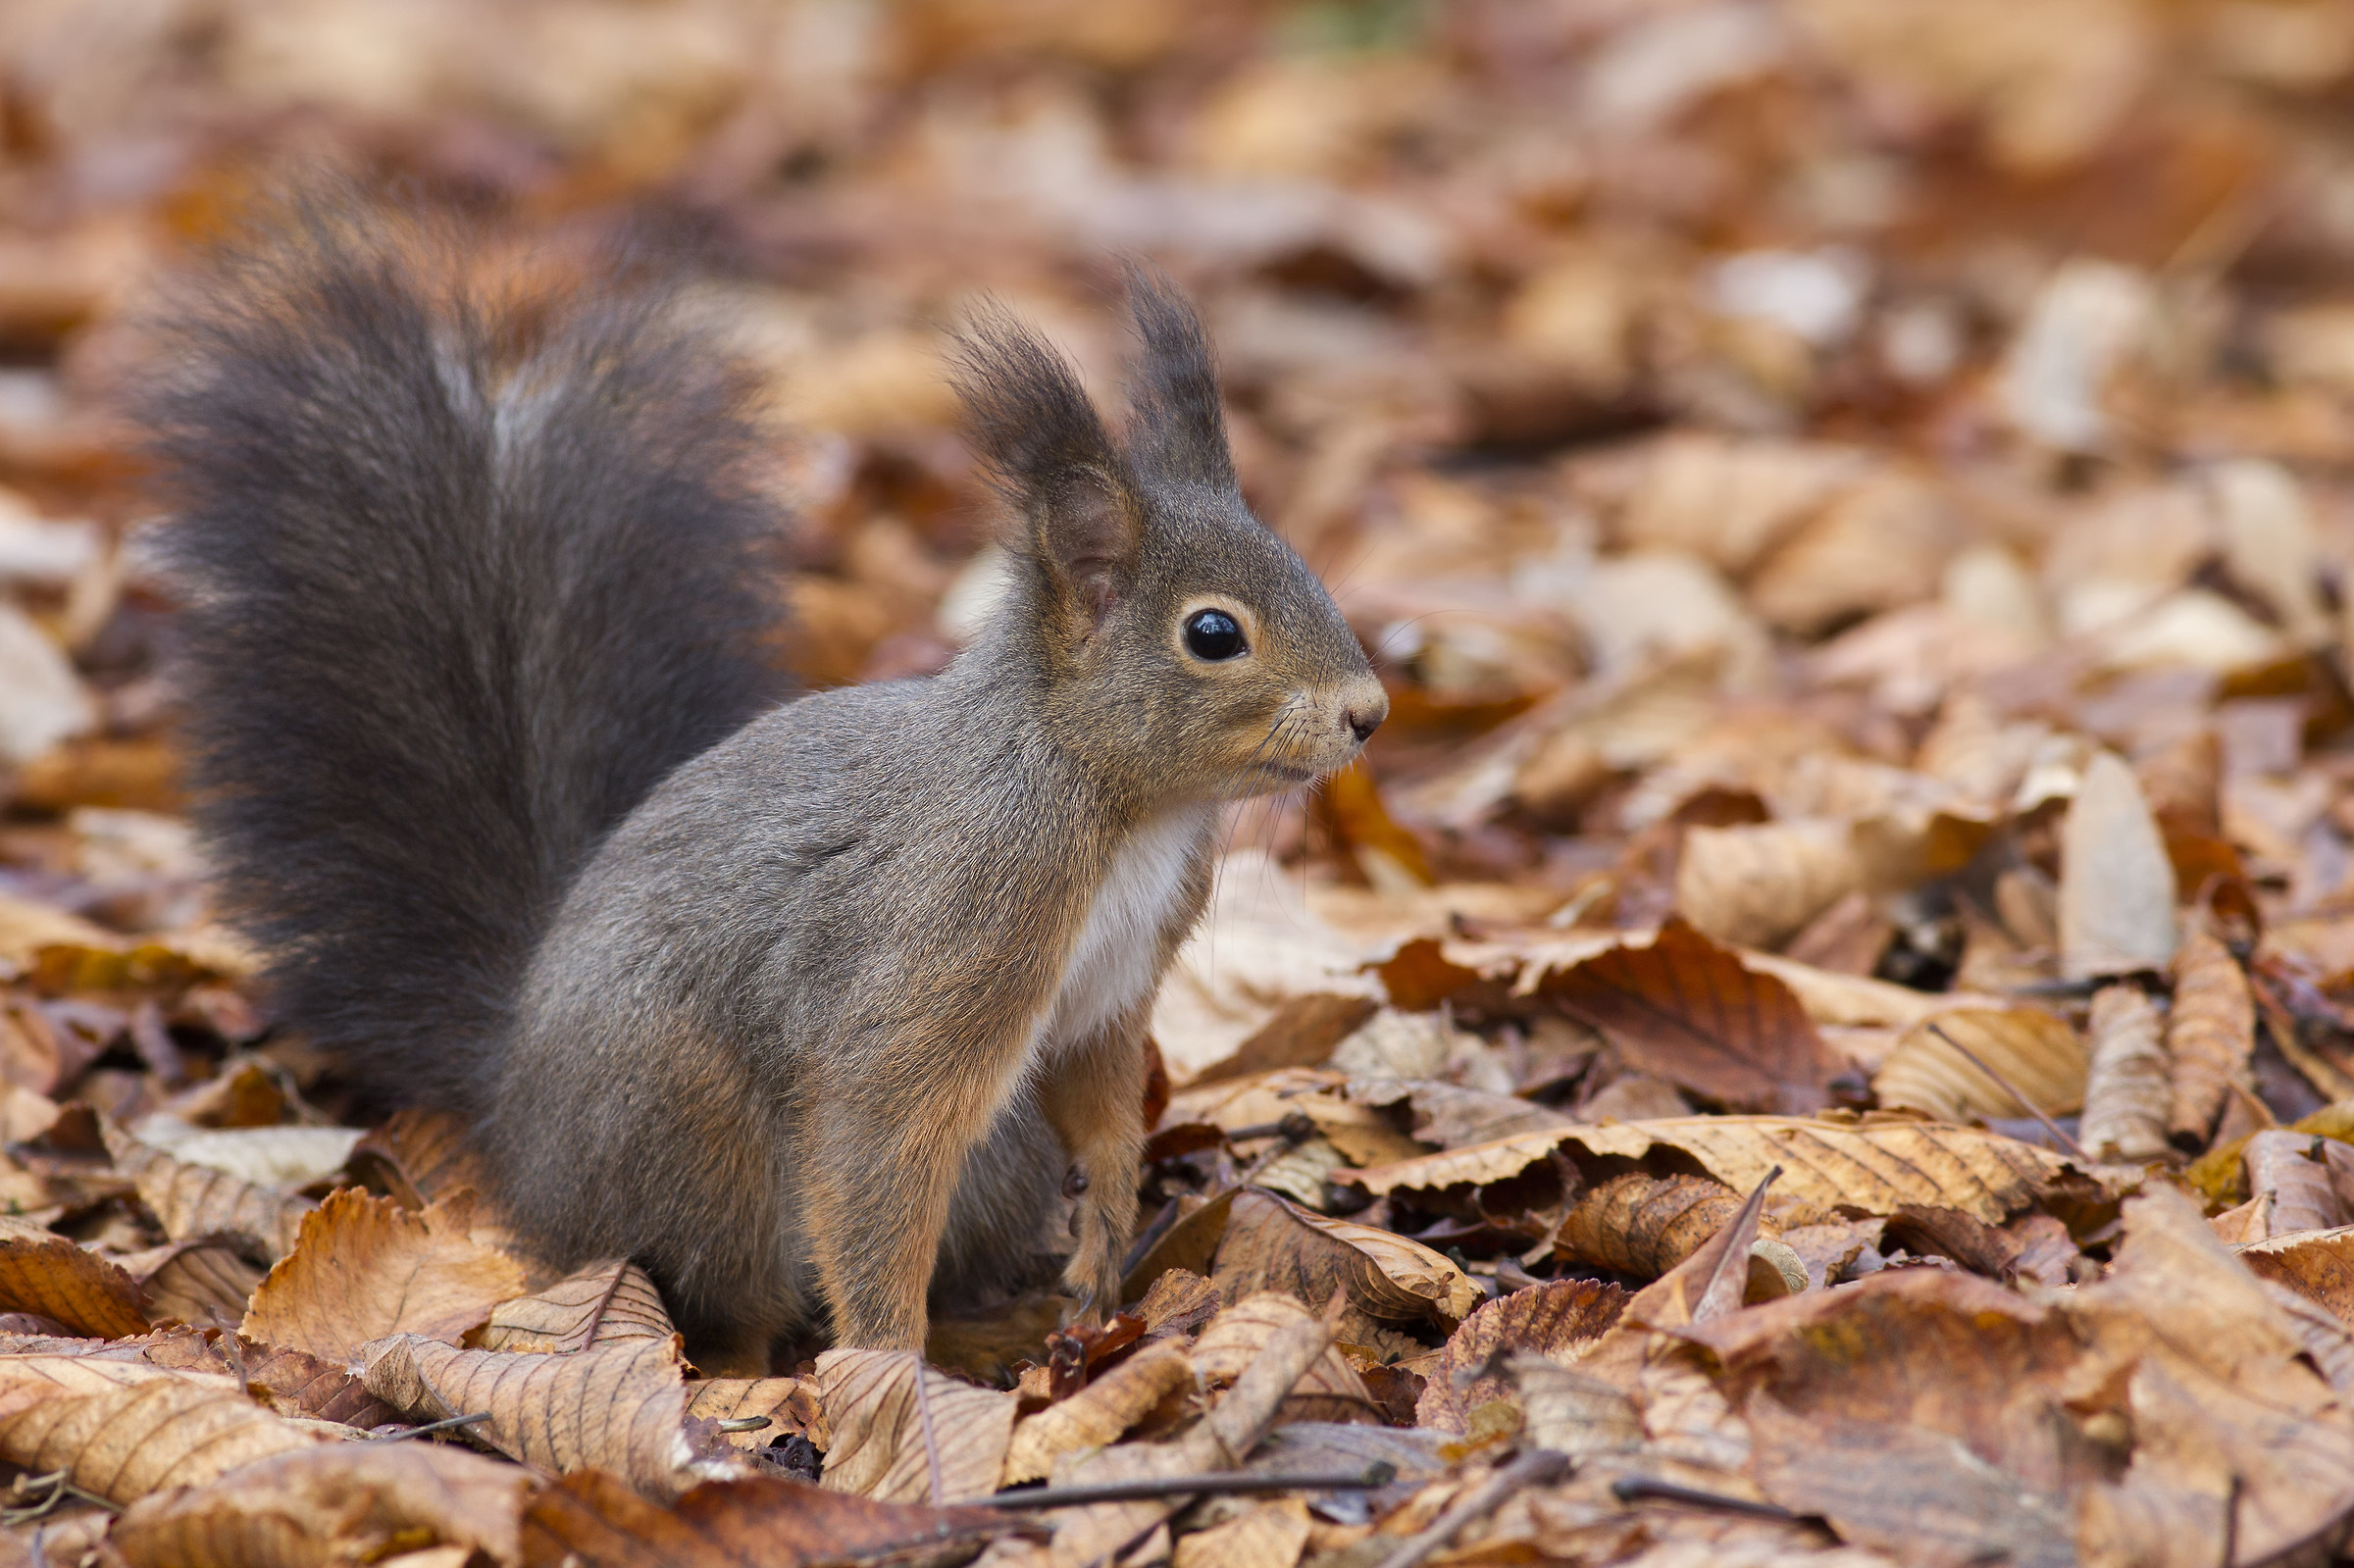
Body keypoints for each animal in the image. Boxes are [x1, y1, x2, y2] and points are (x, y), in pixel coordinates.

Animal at [142, 199, 1387, 1372]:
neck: (1117, 805)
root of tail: (513, 1108)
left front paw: (1101, 1255)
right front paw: (890, 1377)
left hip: (995, 1153)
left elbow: (1104, 1116)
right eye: (1213, 634)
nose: (1369, 713)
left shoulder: (1107, 996)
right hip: (695, 1137)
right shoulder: (945, 943)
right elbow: (876, 1154)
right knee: (725, 1298)